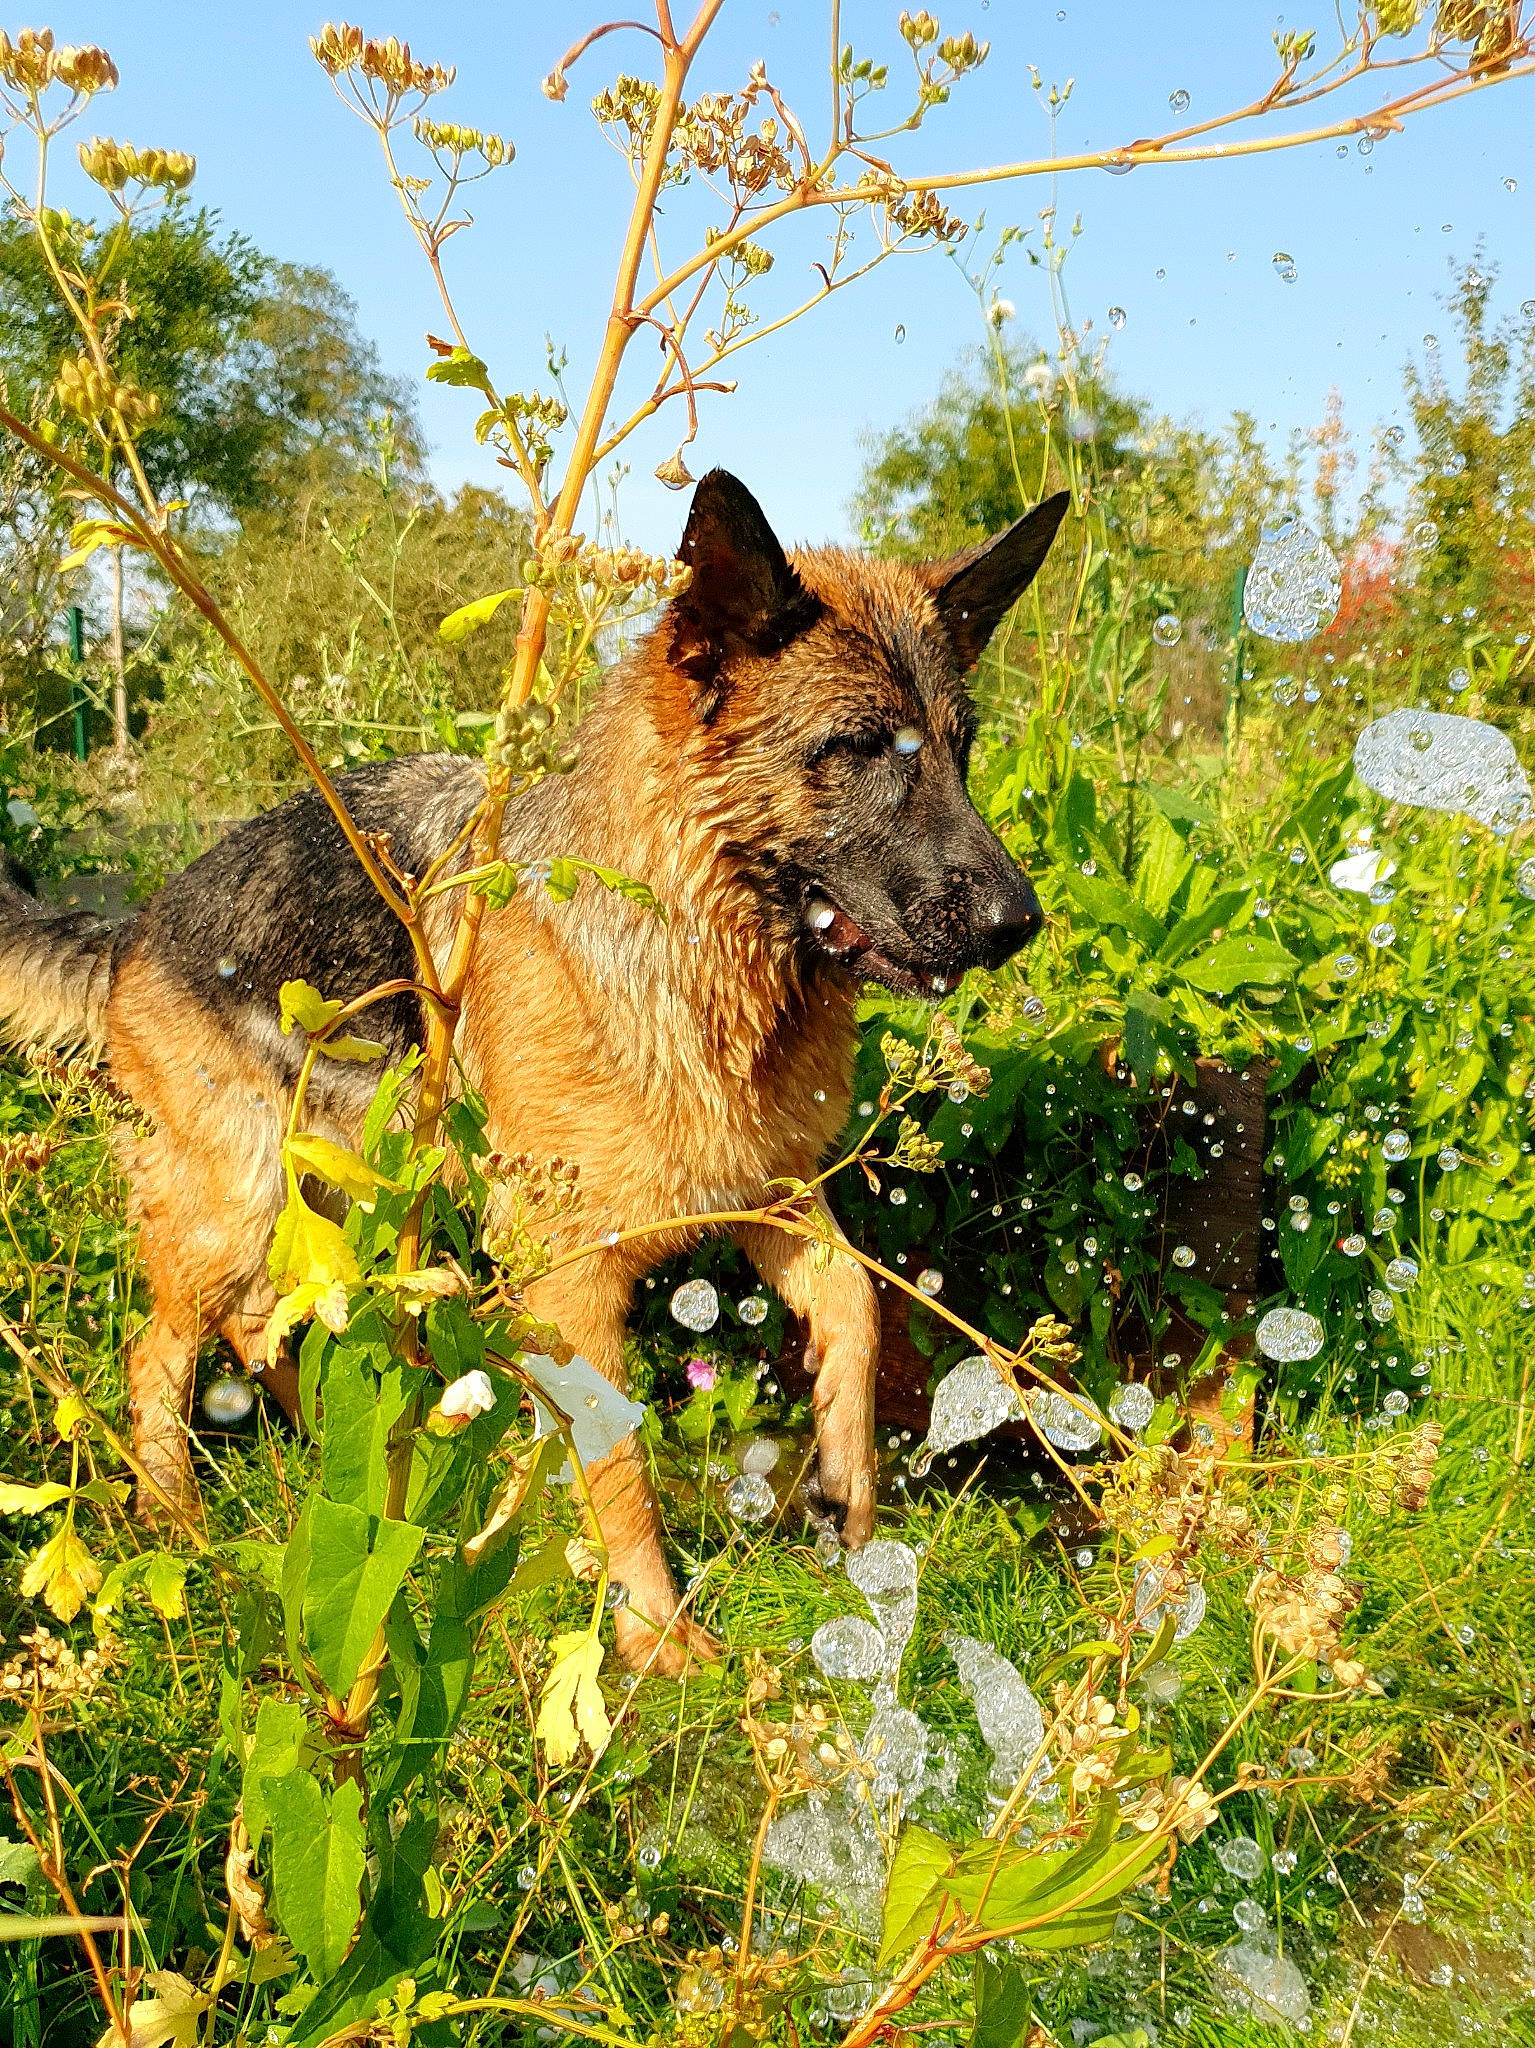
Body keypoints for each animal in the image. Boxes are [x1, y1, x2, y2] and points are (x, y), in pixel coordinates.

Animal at [0, 470, 1066, 1673]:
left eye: (958, 749)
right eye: (857, 747)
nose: (1017, 924)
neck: (690, 933)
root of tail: (136, 925)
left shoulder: (769, 1188)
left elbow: (856, 1299)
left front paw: (848, 1483)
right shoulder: (569, 1282)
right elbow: (619, 1464)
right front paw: (654, 1639)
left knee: (269, 1320)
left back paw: (342, 1452)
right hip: (237, 1203)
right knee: (159, 1355)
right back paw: (179, 1519)